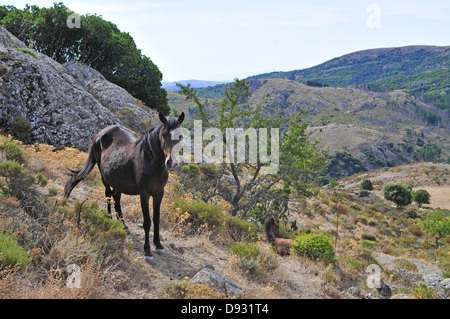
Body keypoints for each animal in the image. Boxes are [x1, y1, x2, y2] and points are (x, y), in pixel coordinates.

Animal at [63, 112, 185, 264]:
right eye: (164, 134)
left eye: (180, 136)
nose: (171, 162)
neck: (151, 161)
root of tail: (100, 134)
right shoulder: (144, 194)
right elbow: (147, 222)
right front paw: (148, 251)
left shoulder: (159, 193)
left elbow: (156, 219)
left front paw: (158, 245)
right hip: (105, 177)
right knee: (108, 195)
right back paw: (109, 218)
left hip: (118, 181)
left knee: (116, 197)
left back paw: (123, 225)